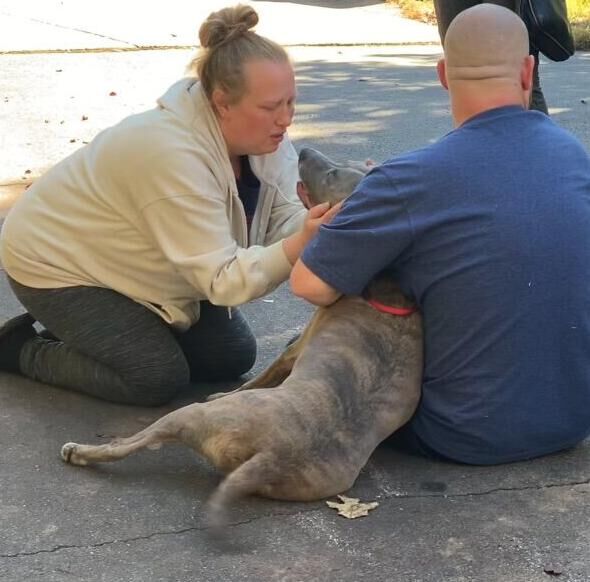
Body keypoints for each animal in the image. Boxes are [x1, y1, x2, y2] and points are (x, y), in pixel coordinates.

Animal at [60, 148, 424, 532]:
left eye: (333, 174)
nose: (305, 151)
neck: (387, 285)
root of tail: (272, 455)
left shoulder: (294, 351)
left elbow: (258, 378)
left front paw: (224, 391)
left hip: (191, 415)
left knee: (130, 444)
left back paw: (80, 451)